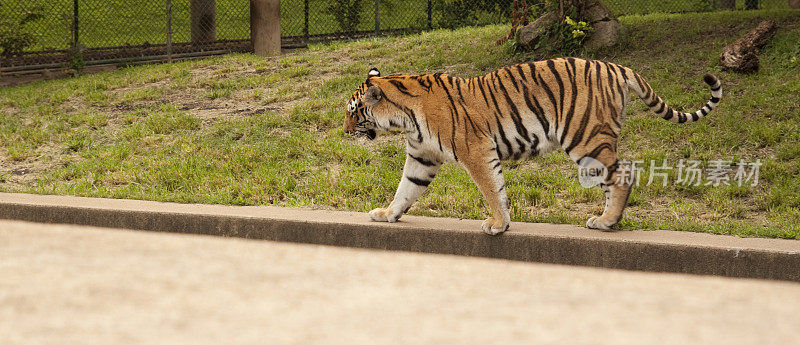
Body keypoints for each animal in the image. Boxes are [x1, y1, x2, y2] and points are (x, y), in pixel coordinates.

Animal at [340, 57, 720, 234]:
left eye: (353, 111)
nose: (344, 132)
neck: (405, 118)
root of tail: (615, 66)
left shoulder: (476, 150)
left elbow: (492, 189)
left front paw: (498, 224)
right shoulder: (422, 157)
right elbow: (406, 189)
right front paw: (387, 214)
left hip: (585, 138)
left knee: (623, 174)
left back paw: (607, 221)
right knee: (614, 179)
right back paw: (607, 220)